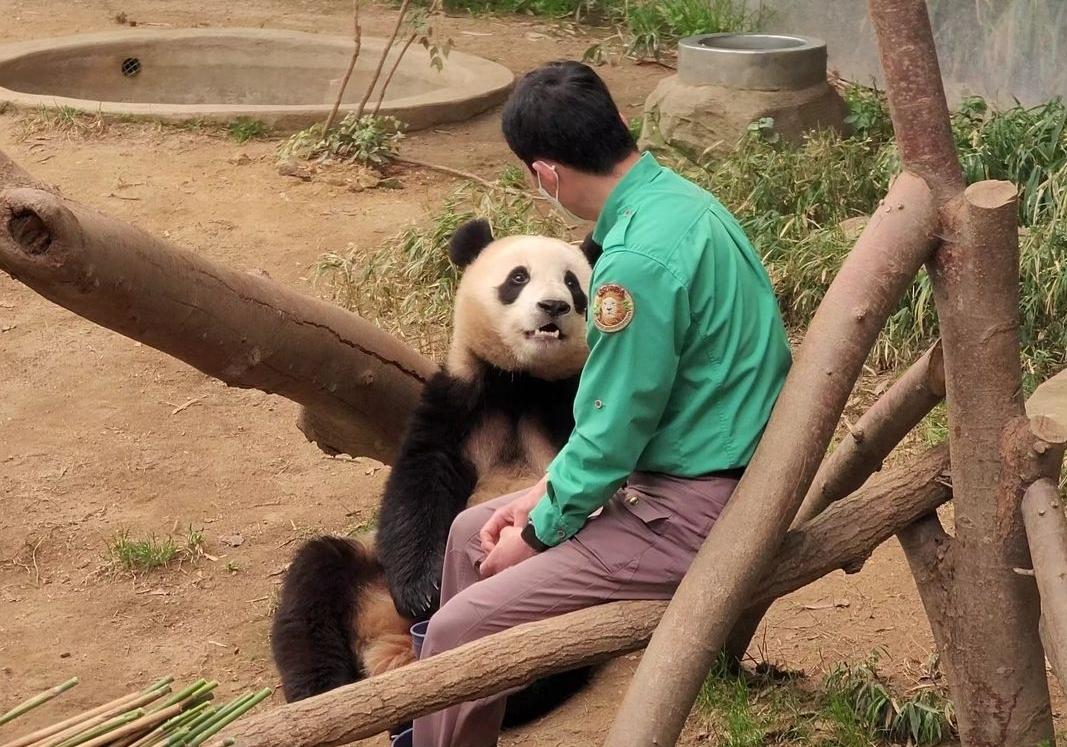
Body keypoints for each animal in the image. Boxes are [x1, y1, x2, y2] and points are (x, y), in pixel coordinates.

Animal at [271, 218, 606, 734]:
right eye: (518, 278)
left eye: (573, 283)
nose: (554, 306)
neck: (523, 383)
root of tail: (397, 650)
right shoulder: (456, 401)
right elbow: (420, 481)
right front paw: (422, 590)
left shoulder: (572, 404)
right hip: (369, 566)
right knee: (314, 581)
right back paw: (323, 691)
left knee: (546, 645)